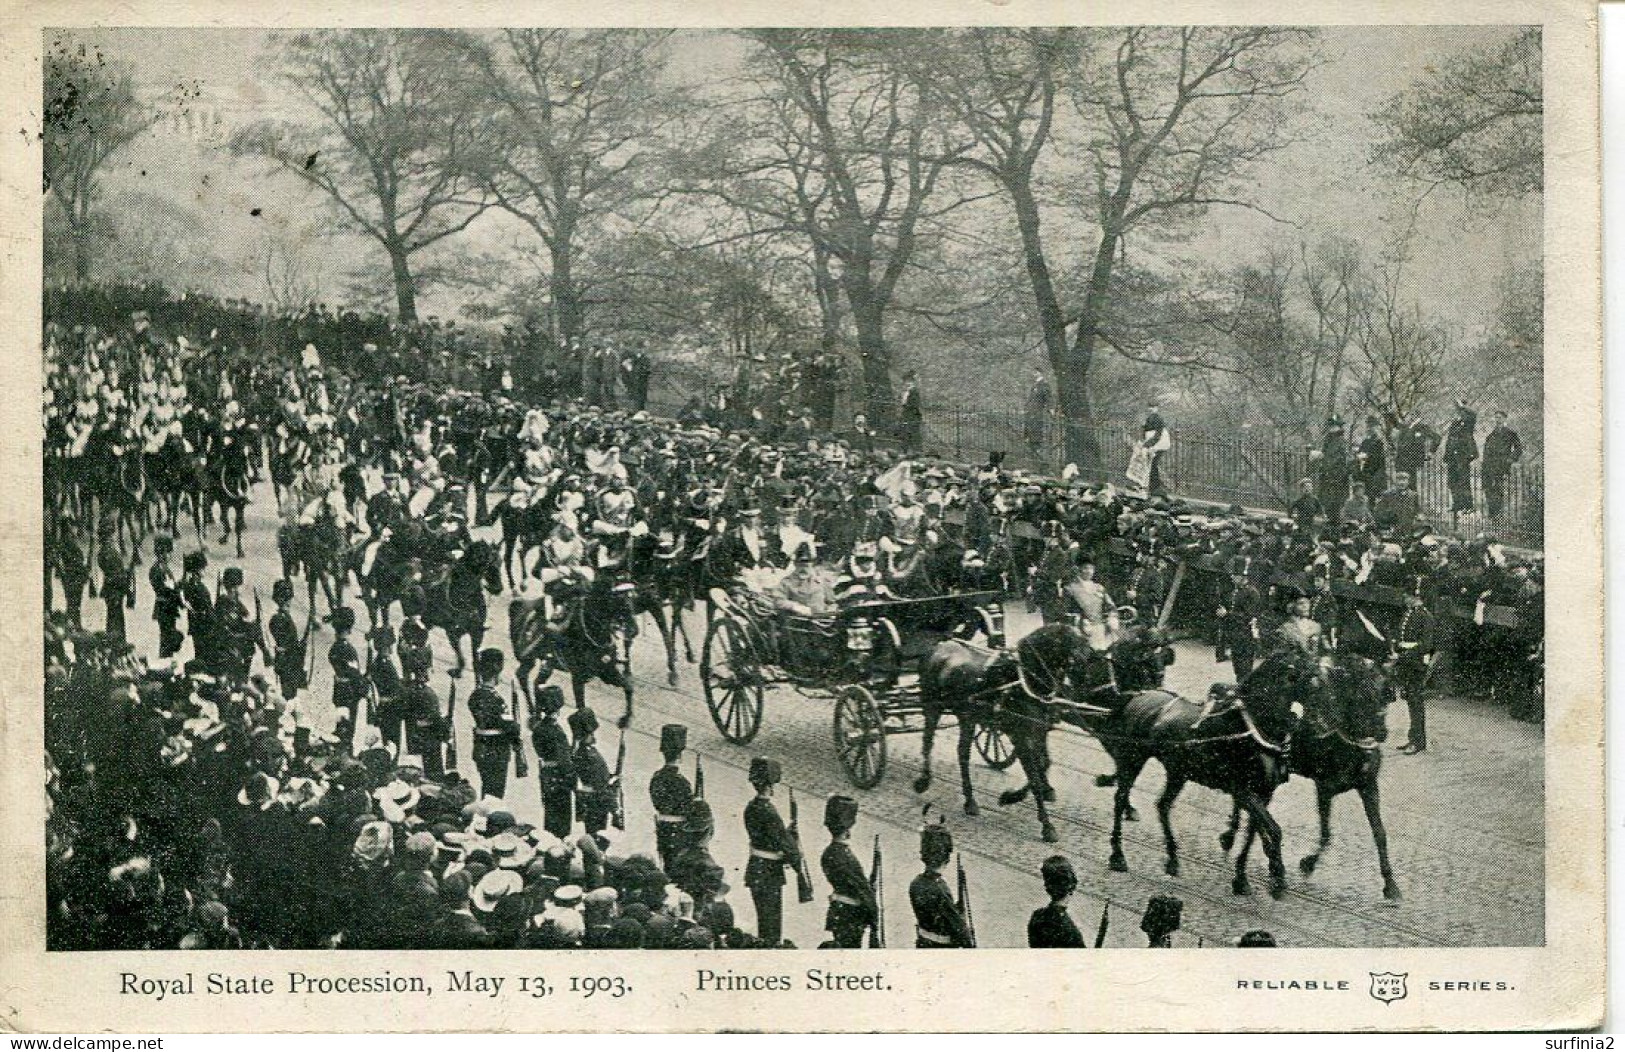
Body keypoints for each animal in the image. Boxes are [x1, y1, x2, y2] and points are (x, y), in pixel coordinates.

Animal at [419, 539, 500, 679]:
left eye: (499, 561)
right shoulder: (452, 632)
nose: (498, 588)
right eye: (483, 561)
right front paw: (456, 671)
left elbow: (475, 662)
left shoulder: (477, 633)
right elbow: (461, 657)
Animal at [1215, 653, 1404, 904]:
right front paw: (1308, 863)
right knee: (1242, 802)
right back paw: (1233, 836)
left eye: (1386, 694)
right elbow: (1326, 834)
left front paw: (1390, 884)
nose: (1381, 732)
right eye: (1363, 693)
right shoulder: (1325, 788)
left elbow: (1380, 834)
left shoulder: (1368, 787)